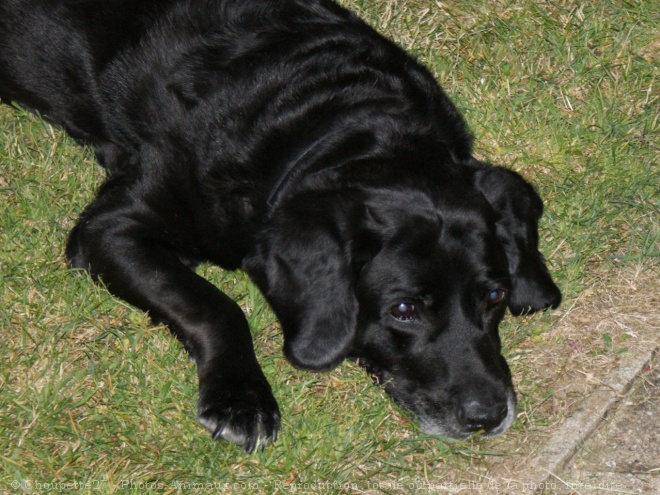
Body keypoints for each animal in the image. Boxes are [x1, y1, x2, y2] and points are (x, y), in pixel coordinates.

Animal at [0, 0, 560, 454]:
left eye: (495, 295)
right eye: (404, 310)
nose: (489, 416)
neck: (326, 126)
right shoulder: (111, 226)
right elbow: (214, 305)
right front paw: (241, 400)